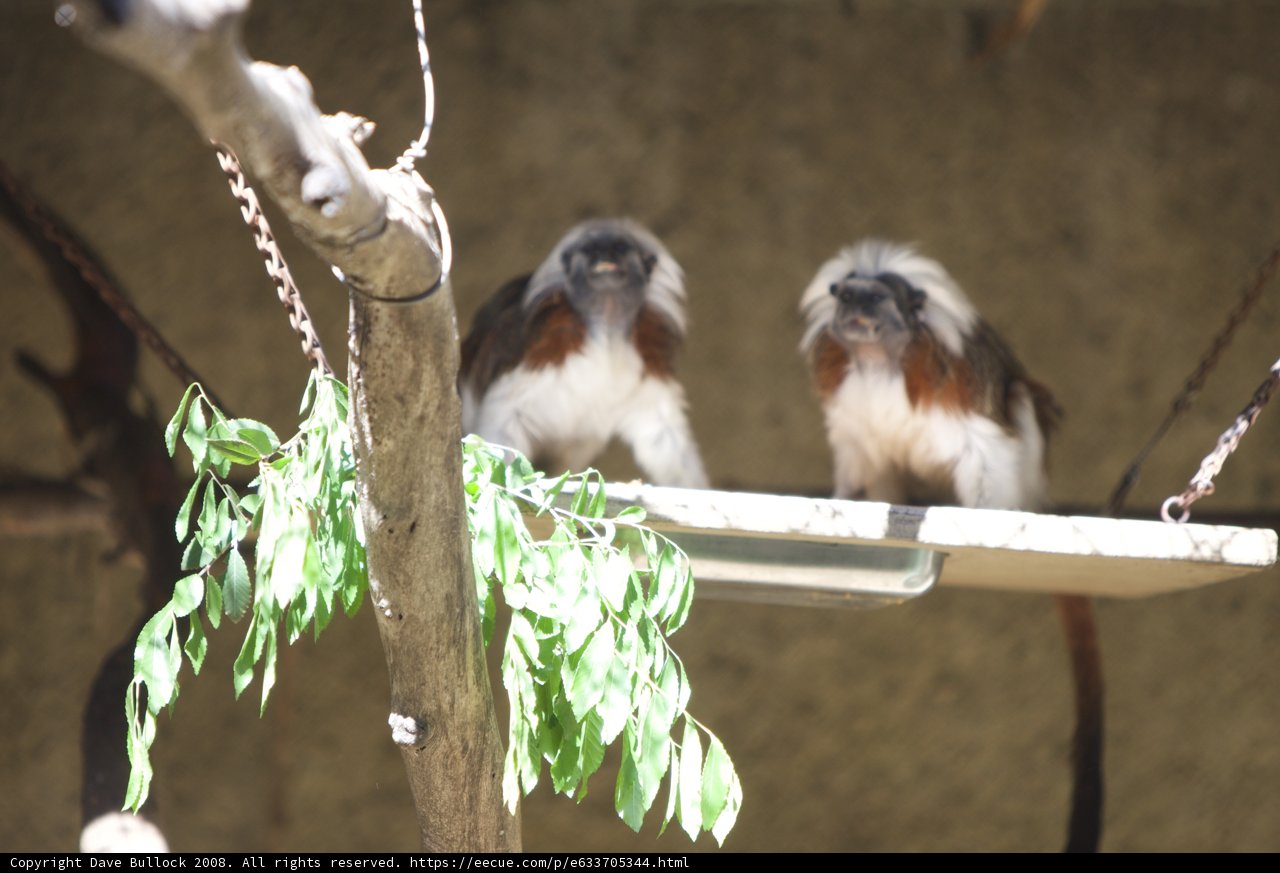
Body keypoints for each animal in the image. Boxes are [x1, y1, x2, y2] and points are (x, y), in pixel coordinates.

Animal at [460, 218, 709, 488]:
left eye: (619, 248)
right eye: (592, 250)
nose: (604, 256)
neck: (606, 331)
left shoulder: (648, 356)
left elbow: (661, 432)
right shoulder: (537, 347)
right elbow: (506, 418)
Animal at [800, 238, 1060, 510]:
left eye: (875, 297)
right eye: (847, 296)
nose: (854, 307)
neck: (880, 363)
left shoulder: (960, 383)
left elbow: (983, 451)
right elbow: (860, 454)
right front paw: (844, 495)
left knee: (1020, 394)